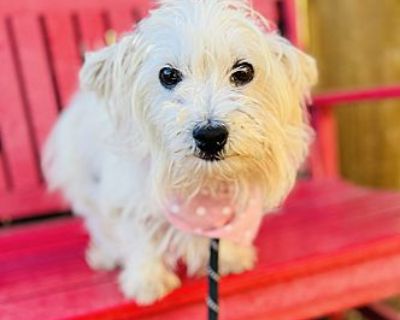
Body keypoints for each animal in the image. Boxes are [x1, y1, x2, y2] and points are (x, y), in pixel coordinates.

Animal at [42, 0, 318, 304]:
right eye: (168, 74)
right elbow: (139, 237)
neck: (202, 188)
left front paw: (229, 257)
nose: (210, 136)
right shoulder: (128, 196)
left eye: (244, 72)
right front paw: (147, 280)